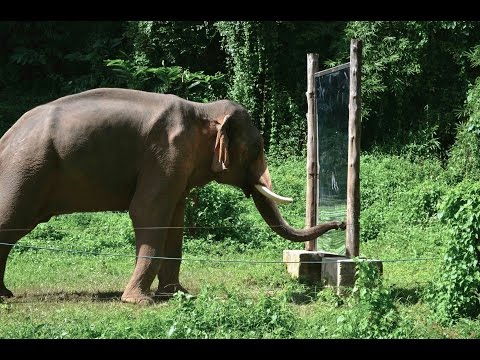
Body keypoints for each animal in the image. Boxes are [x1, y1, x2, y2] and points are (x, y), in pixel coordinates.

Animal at [0, 88, 344, 304]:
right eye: (256, 148)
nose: (341, 224)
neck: (202, 108)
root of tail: (7, 135)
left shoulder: (177, 168)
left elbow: (175, 220)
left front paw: (178, 294)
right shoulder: (165, 155)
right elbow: (147, 212)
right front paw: (138, 302)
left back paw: (5, 294)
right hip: (26, 170)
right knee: (11, 222)